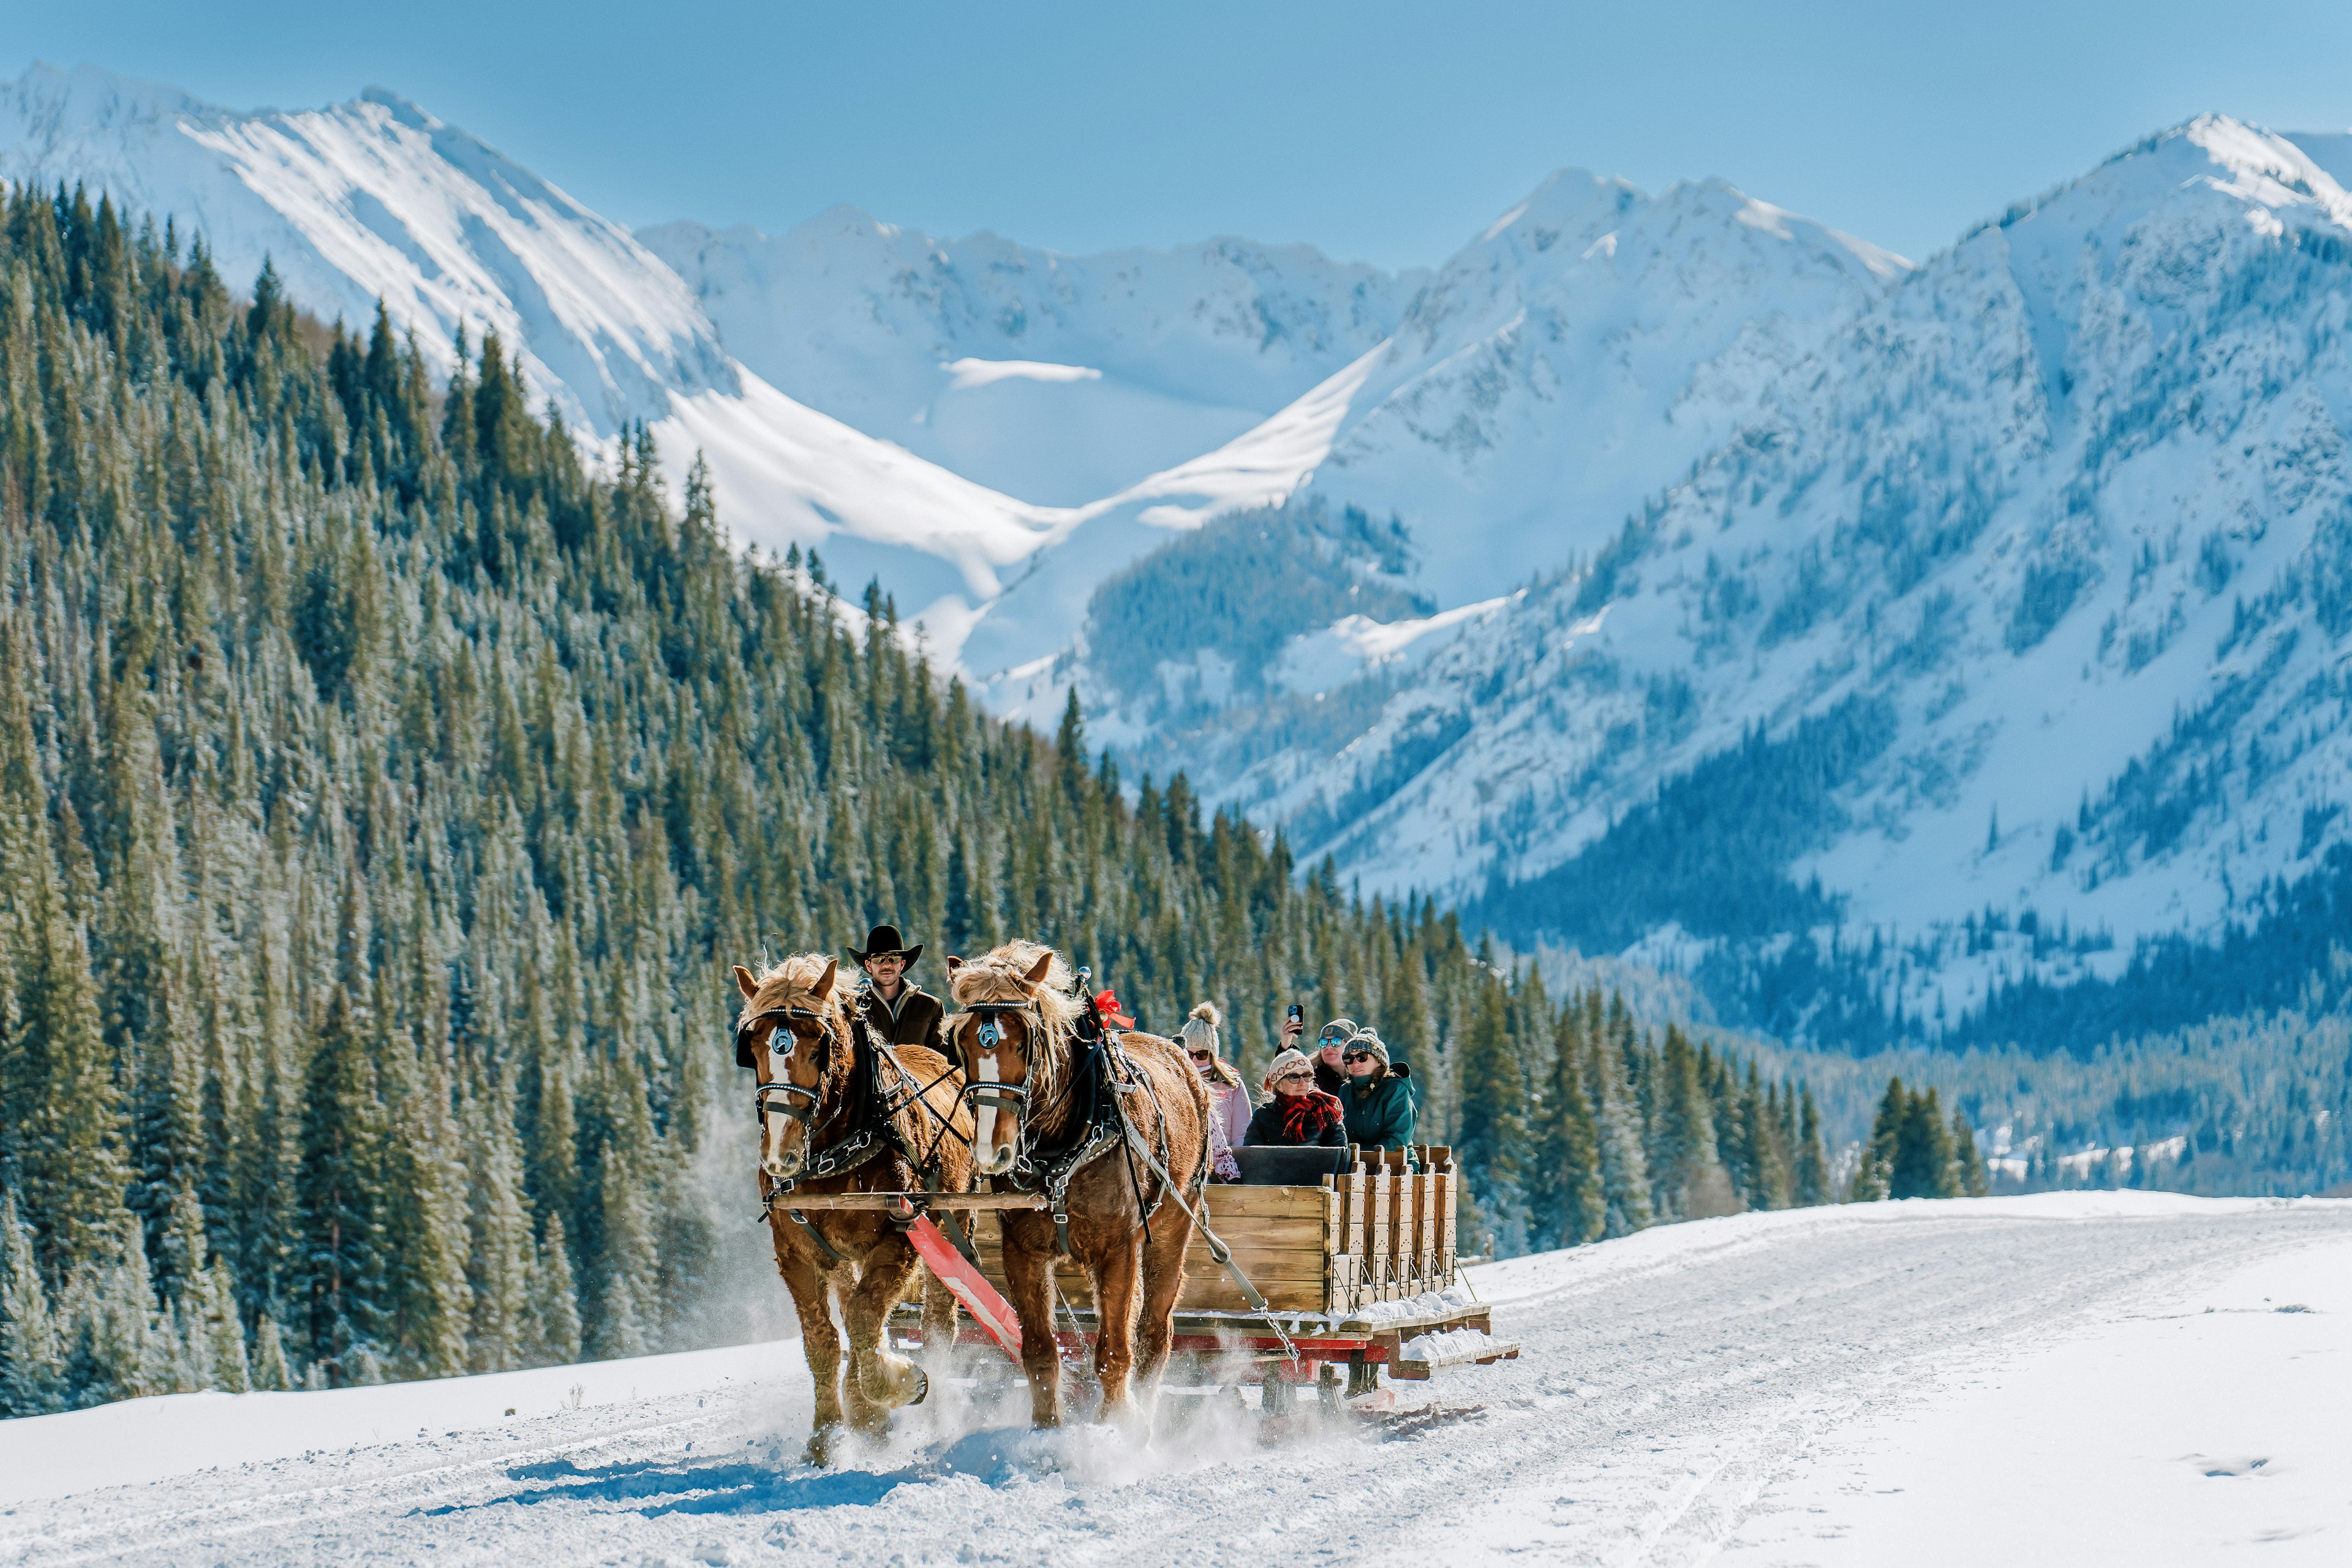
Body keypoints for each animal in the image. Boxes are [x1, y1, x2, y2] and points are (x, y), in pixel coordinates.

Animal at [724, 949, 964, 1466]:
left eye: (818, 1048)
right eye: (752, 1049)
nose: (780, 1154)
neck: (836, 1153)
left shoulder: (902, 1237)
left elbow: (865, 1318)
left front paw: (898, 1386)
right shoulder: (796, 1253)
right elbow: (824, 1342)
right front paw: (828, 1436)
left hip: (954, 1227)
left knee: (938, 1325)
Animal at [941, 944, 1213, 1438]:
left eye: (1024, 1042)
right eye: (964, 1042)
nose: (992, 1149)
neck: (1064, 1147)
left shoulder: (1118, 1249)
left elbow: (1113, 1352)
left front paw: (1114, 1429)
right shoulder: (1022, 1251)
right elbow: (1040, 1350)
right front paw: (1046, 1428)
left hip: (1172, 1225)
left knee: (1153, 1330)